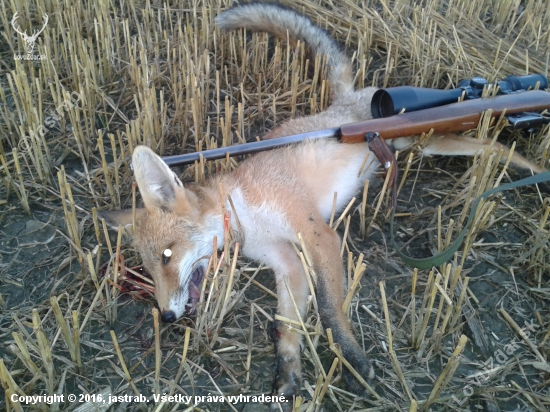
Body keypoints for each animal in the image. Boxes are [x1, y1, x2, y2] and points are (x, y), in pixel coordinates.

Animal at [100, 0, 548, 406]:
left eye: (166, 255)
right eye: (148, 268)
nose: (167, 316)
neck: (242, 210)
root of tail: (353, 99)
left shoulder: (316, 232)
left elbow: (331, 310)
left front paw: (353, 361)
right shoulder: (286, 261)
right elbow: (287, 326)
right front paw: (288, 375)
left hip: (430, 141)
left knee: (496, 148)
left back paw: (536, 165)